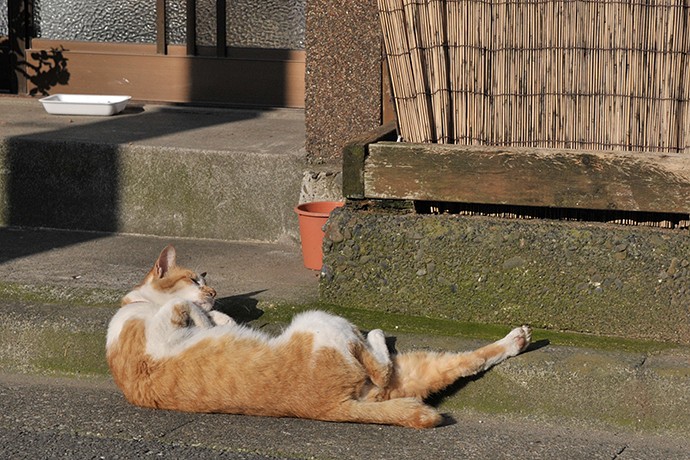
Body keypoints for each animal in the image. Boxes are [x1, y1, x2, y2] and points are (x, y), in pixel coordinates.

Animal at [105, 244, 528, 428]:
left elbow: (205, 317)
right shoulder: (159, 329)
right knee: (380, 368)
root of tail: (331, 408)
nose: (212, 290)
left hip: (402, 371)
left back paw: (516, 339)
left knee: (459, 363)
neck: (132, 304)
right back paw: (375, 333)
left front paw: (220, 318)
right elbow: (184, 308)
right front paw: (209, 318)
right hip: (319, 323)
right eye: (194, 279)